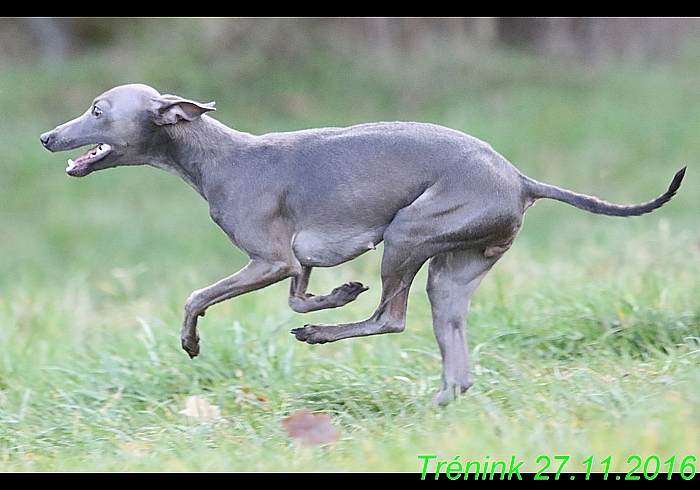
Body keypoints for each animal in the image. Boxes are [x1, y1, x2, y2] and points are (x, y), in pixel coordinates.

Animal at [39, 84, 684, 406]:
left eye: (97, 109)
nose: (46, 136)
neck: (220, 157)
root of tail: (521, 179)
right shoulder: (294, 261)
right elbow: (301, 291)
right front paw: (338, 291)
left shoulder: (269, 260)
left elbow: (198, 295)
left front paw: (191, 342)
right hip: (451, 273)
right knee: (454, 362)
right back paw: (434, 403)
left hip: (407, 235)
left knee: (391, 317)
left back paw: (322, 337)